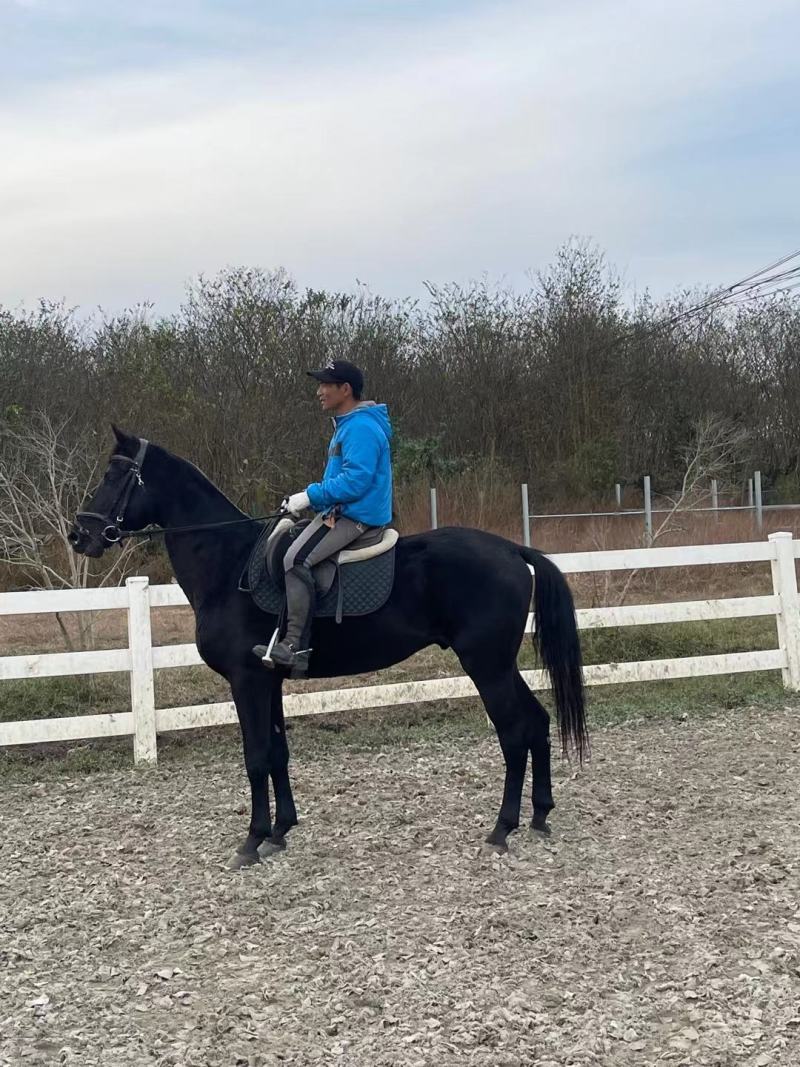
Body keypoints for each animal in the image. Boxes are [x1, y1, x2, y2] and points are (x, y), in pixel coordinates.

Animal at [69, 428, 587, 868]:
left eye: (114, 476)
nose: (80, 534)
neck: (228, 564)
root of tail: (512, 549)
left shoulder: (246, 680)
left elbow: (255, 757)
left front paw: (252, 841)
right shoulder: (268, 680)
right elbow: (278, 753)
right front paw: (280, 832)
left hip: (486, 666)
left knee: (514, 732)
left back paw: (502, 829)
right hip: (498, 664)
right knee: (537, 722)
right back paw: (539, 816)